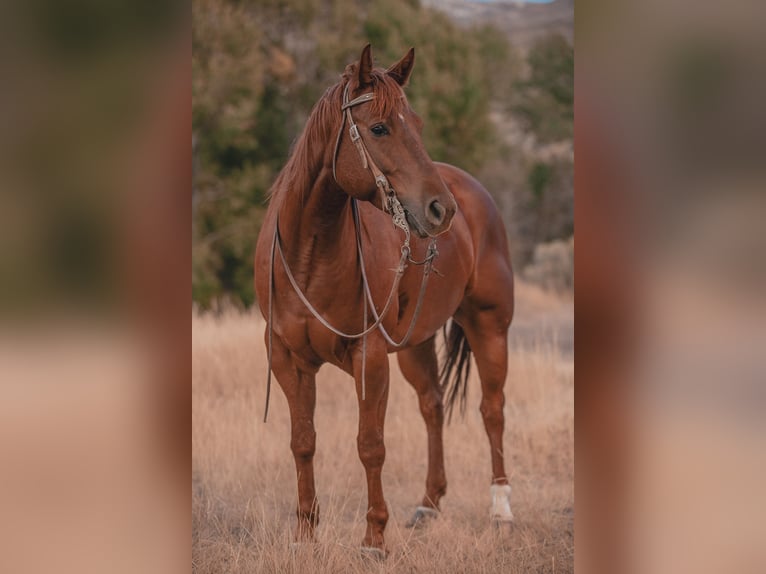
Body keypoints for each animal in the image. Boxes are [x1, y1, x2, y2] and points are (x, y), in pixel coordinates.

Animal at [254, 44, 515, 557]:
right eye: (379, 128)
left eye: (417, 123)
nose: (441, 210)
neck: (310, 252)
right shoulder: (287, 358)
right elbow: (302, 441)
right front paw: (304, 532)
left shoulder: (369, 357)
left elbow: (370, 444)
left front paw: (374, 537)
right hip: (415, 343)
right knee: (433, 406)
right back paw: (428, 506)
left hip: (489, 327)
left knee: (491, 410)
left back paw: (501, 511)